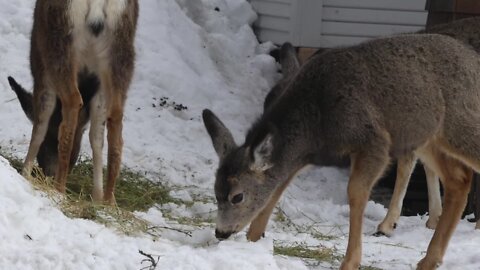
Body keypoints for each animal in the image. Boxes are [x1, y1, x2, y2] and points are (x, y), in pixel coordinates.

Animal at [15, 0, 138, 202]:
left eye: (49, 143)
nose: (47, 173)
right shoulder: (98, 86)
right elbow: (96, 136)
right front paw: (97, 196)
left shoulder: (41, 70)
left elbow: (40, 125)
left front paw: (24, 172)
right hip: (121, 54)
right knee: (116, 115)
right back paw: (109, 200)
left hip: (60, 43)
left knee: (72, 102)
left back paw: (60, 188)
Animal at [204, 33, 480, 270]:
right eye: (215, 192)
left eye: (237, 196)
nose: (221, 232)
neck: (314, 122)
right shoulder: (300, 157)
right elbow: (276, 191)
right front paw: (254, 239)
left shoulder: (374, 141)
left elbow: (356, 193)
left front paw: (351, 261)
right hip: (428, 137)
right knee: (458, 180)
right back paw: (429, 259)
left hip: (458, 122)